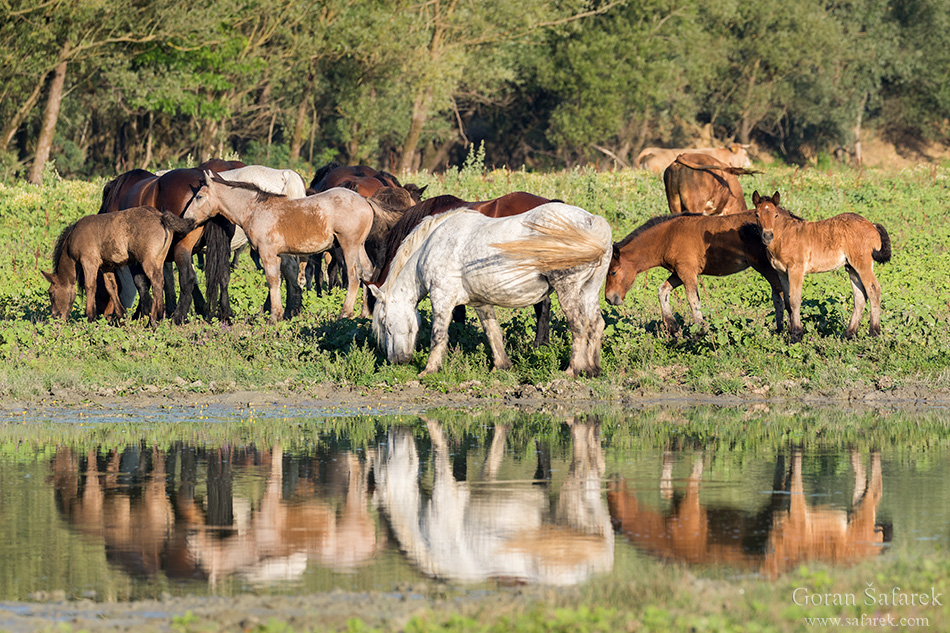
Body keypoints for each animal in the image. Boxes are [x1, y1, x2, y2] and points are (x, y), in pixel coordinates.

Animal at [184, 170, 378, 320]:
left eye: (199, 196)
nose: (186, 219)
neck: (255, 209)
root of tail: (365, 201)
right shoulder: (280, 255)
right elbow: (284, 279)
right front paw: (284, 312)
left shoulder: (267, 252)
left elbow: (272, 280)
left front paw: (274, 316)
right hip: (359, 246)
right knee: (368, 272)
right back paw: (365, 312)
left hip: (349, 246)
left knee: (354, 276)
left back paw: (345, 313)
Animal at [368, 205, 612, 378]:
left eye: (385, 322)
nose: (396, 360)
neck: (432, 245)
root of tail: (591, 220)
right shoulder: (480, 302)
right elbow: (492, 332)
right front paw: (502, 365)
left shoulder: (442, 298)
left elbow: (438, 335)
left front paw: (429, 369)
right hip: (588, 291)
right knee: (596, 324)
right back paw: (593, 369)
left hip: (567, 289)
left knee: (578, 324)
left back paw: (573, 369)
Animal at [608, 210, 792, 334]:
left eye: (613, 272)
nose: (609, 298)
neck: (668, 236)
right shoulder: (678, 273)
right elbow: (663, 291)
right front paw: (672, 327)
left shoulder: (687, 273)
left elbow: (692, 299)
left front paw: (700, 332)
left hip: (765, 266)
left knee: (782, 294)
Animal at [752, 190, 892, 344]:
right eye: (756, 214)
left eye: (775, 215)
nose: (767, 236)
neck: (784, 236)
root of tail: (872, 225)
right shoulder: (781, 273)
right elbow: (787, 302)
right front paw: (791, 333)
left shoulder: (796, 270)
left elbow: (795, 300)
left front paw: (796, 335)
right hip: (852, 268)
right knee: (860, 296)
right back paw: (849, 334)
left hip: (863, 265)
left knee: (874, 290)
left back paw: (874, 333)